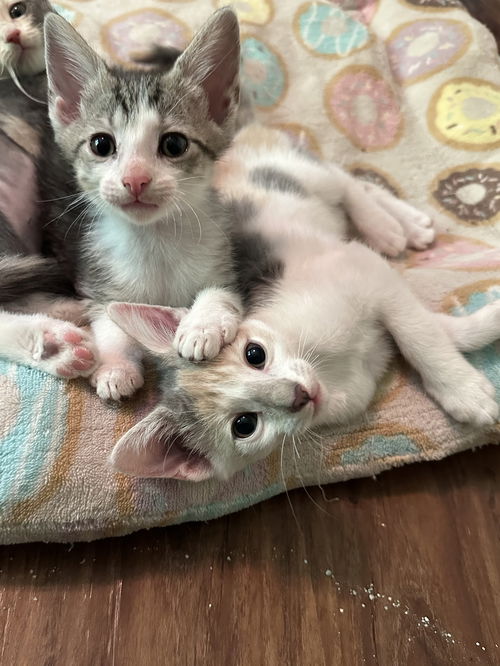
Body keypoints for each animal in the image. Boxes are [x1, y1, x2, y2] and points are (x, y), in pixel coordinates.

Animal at [101, 123, 500, 478]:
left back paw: (391, 226)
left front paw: (464, 390)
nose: (298, 395)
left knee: (345, 179)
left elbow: (420, 334)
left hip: (294, 172)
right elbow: (434, 328)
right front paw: (482, 333)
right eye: (244, 425)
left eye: (254, 354)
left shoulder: (364, 270)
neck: (329, 368)